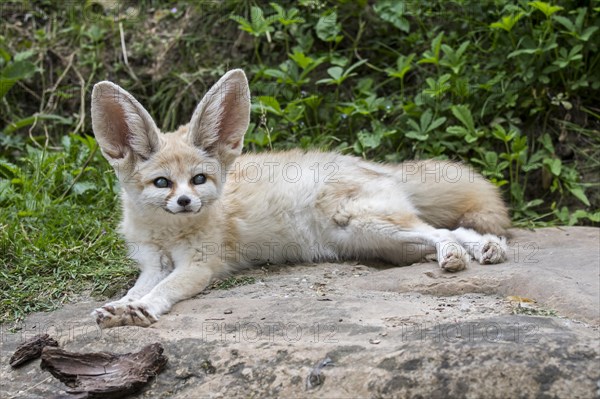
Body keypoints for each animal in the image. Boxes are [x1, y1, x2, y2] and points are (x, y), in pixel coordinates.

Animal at [90, 70, 510, 330]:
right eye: (162, 183)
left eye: (198, 180)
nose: (184, 203)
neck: (167, 234)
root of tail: (373, 164)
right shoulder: (153, 264)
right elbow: (136, 289)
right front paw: (121, 307)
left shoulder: (199, 265)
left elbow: (163, 291)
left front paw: (142, 309)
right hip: (374, 241)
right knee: (445, 233)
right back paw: (478, 250)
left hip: (365, 224)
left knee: (445, 231)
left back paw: (465, 252)